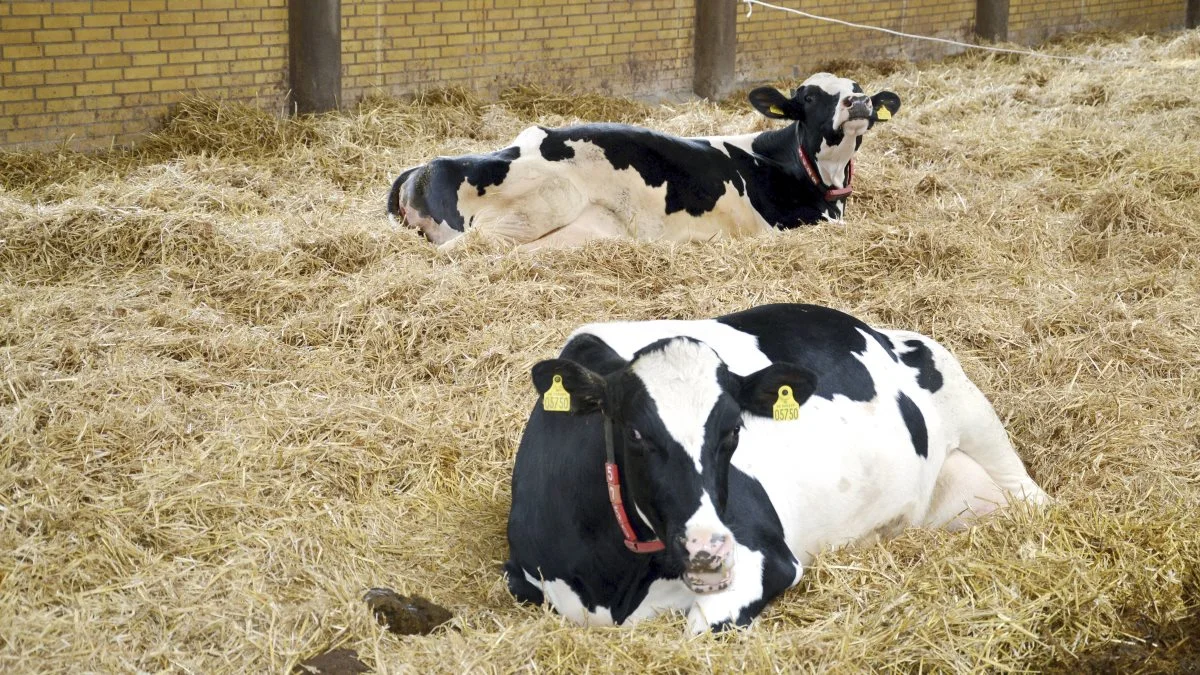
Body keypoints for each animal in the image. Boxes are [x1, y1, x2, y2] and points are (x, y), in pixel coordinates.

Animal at [501, 303, 1046, 629]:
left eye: (733, 432)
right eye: (634, 433)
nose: (708, 548)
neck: (614, 584)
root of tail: (870, 327)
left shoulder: (768, 557)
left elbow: (702, 626)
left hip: (970, 407)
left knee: (1030, 496)